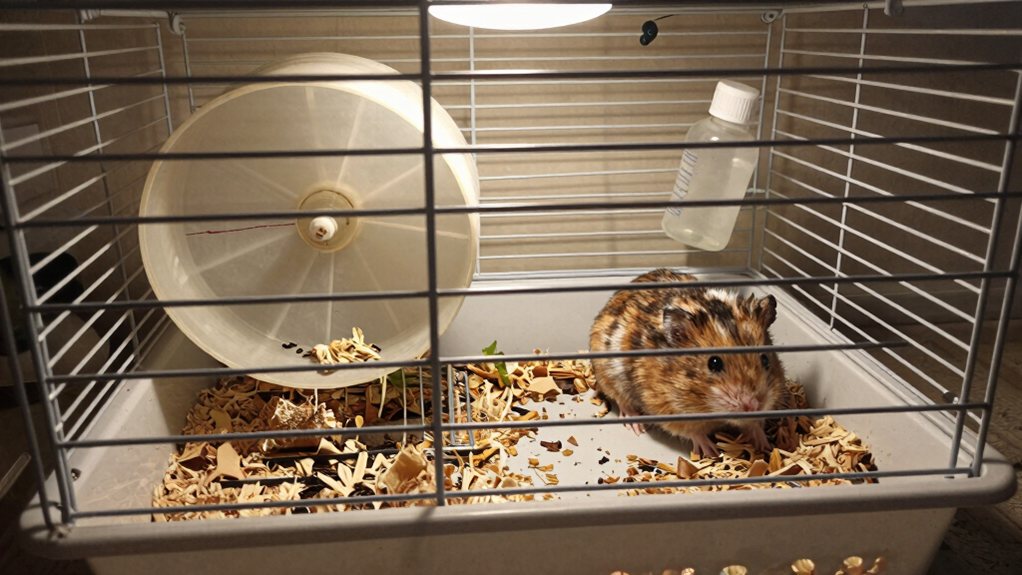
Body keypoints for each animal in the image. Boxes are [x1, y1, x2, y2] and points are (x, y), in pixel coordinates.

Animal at [589, 268, 786, 458]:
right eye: (714, 363)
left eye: (765, 359)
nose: (753, 405)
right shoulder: (668, 408)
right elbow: (694, 432)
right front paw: (711, 452)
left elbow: (754, 425)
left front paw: (764, 445)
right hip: (609, 375)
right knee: (622, 401)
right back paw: (636, 426)